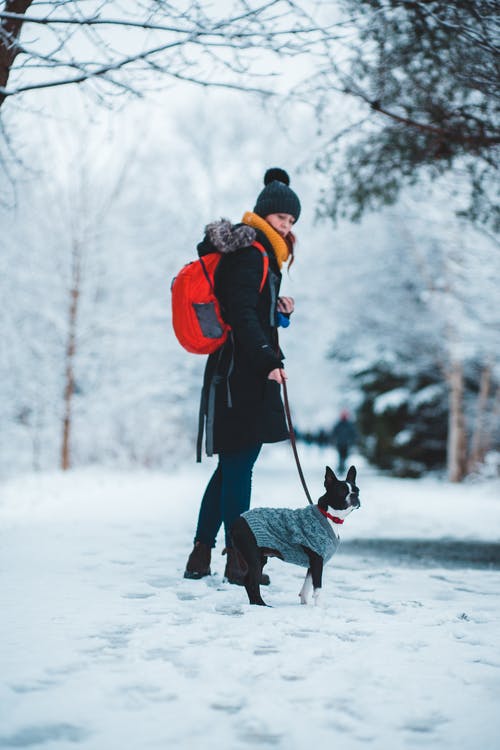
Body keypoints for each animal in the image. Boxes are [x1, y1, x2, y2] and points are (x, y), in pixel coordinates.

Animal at [230, 468, 360, 608]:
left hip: (261, 558)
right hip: (254, 559)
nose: (354, 495)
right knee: (251, 582)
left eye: (357, 490)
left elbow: (307, 585)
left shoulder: (312, 564)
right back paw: (262, 605)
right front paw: (319, 607)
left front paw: (304, 604)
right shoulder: (318, 560)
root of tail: (237, 521)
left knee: (248, 581)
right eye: (342, 491)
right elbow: (317, 588)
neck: (329, 515)